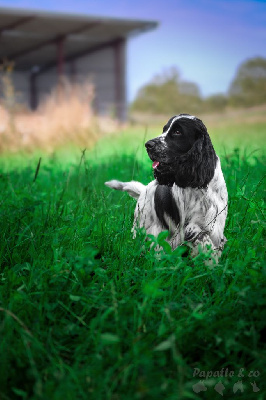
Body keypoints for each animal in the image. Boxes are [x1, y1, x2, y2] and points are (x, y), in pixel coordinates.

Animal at [105, 114, 228, 258]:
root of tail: (144, 189)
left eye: (177, 131)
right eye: (164, 129)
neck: (200, 187)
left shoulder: (213, 230)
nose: (148, 145)